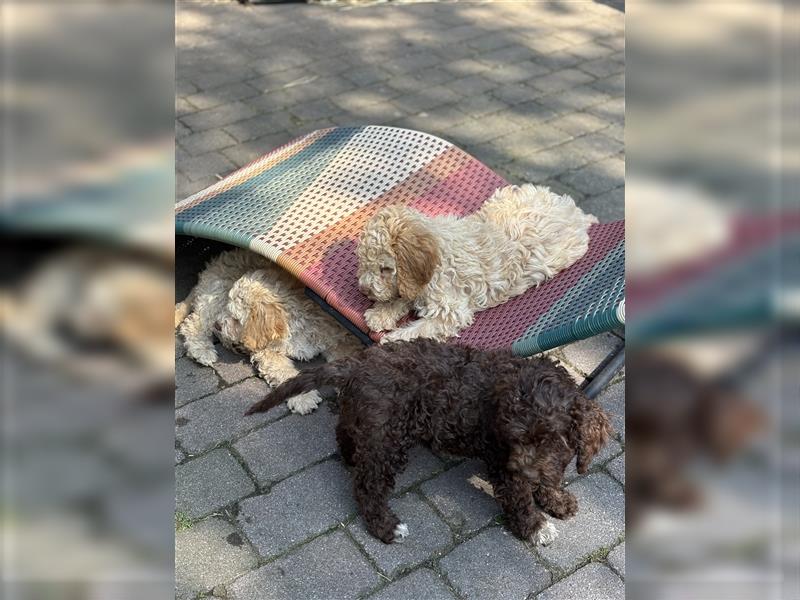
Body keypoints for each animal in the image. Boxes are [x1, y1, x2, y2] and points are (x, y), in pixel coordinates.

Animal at [179, 248, 362, 412]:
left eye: (236, 319)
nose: (218, 325)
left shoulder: (340, 337)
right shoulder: (267, 351)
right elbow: (285, 372)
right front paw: (304, 398)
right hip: (215, 295)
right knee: (193, 323)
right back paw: (202, 350)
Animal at [356, 183, 592, 342]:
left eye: (386, 269)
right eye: (364, 262)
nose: (364, 290)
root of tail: (575, 211)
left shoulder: (451, 312)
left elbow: (420, 328)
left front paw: (394, 339)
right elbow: (404, 297)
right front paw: (382, 313)